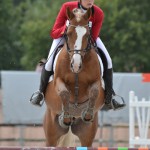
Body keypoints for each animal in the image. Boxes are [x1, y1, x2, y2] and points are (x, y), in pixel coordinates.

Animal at [43, 7, 104, 146]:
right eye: (68, 33)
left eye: (87, 35)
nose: (76, 65)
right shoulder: (58, 81)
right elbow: (64, 93)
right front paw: (65, 117)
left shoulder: (96, 81)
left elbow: (94, 91)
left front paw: (87, 114)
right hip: (51, 132)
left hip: (86, 135)